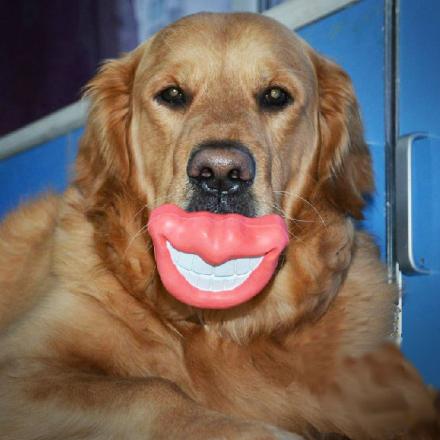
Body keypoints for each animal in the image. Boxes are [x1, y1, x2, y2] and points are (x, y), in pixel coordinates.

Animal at [0, 12, 440, 438]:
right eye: (172, 95)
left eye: (276, 96)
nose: (221, 173)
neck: (222, 327)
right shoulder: (21, 368)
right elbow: (151, 389)